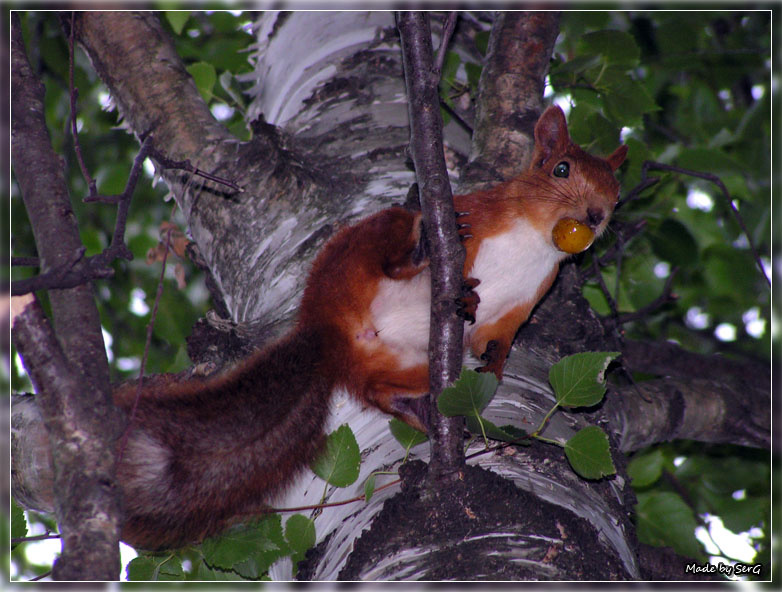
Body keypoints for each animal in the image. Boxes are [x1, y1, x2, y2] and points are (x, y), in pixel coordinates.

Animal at [12, 105, 626, 551]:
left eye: (616, 193)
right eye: (561, 169)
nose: (596, 218)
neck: (537, 241)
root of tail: (328, 331)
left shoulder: (519, 309)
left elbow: (498, 342)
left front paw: (492, 367)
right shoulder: (480, 214)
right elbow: (463, 230)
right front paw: (445, 254)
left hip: (401, 363)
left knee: (379, 392)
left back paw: (425, 410)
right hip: (356, 253)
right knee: (393, 248)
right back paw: (421, 256)